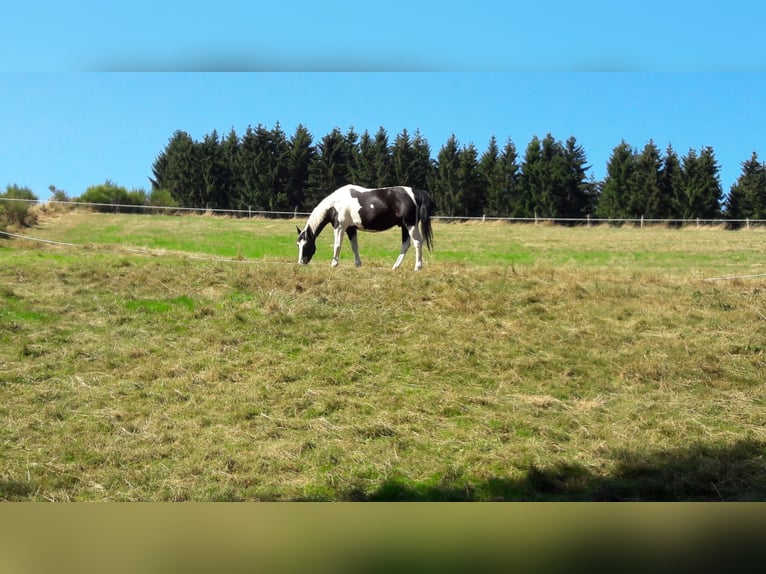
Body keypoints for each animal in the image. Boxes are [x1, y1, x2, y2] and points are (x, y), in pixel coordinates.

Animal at [296, 186, 436, 274]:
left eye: (306, 245)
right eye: (298, 245)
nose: (301, 262)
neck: (335, 205)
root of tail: (416, 193)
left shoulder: (340, 227)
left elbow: (337, 245)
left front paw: (334, 264)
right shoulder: (351, 229)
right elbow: (354, 246)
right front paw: (357, 264)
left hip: (410, 225)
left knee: (418, 242)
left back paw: (417, 267)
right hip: (404, 226)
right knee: (405, 245)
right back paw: (395, 267)